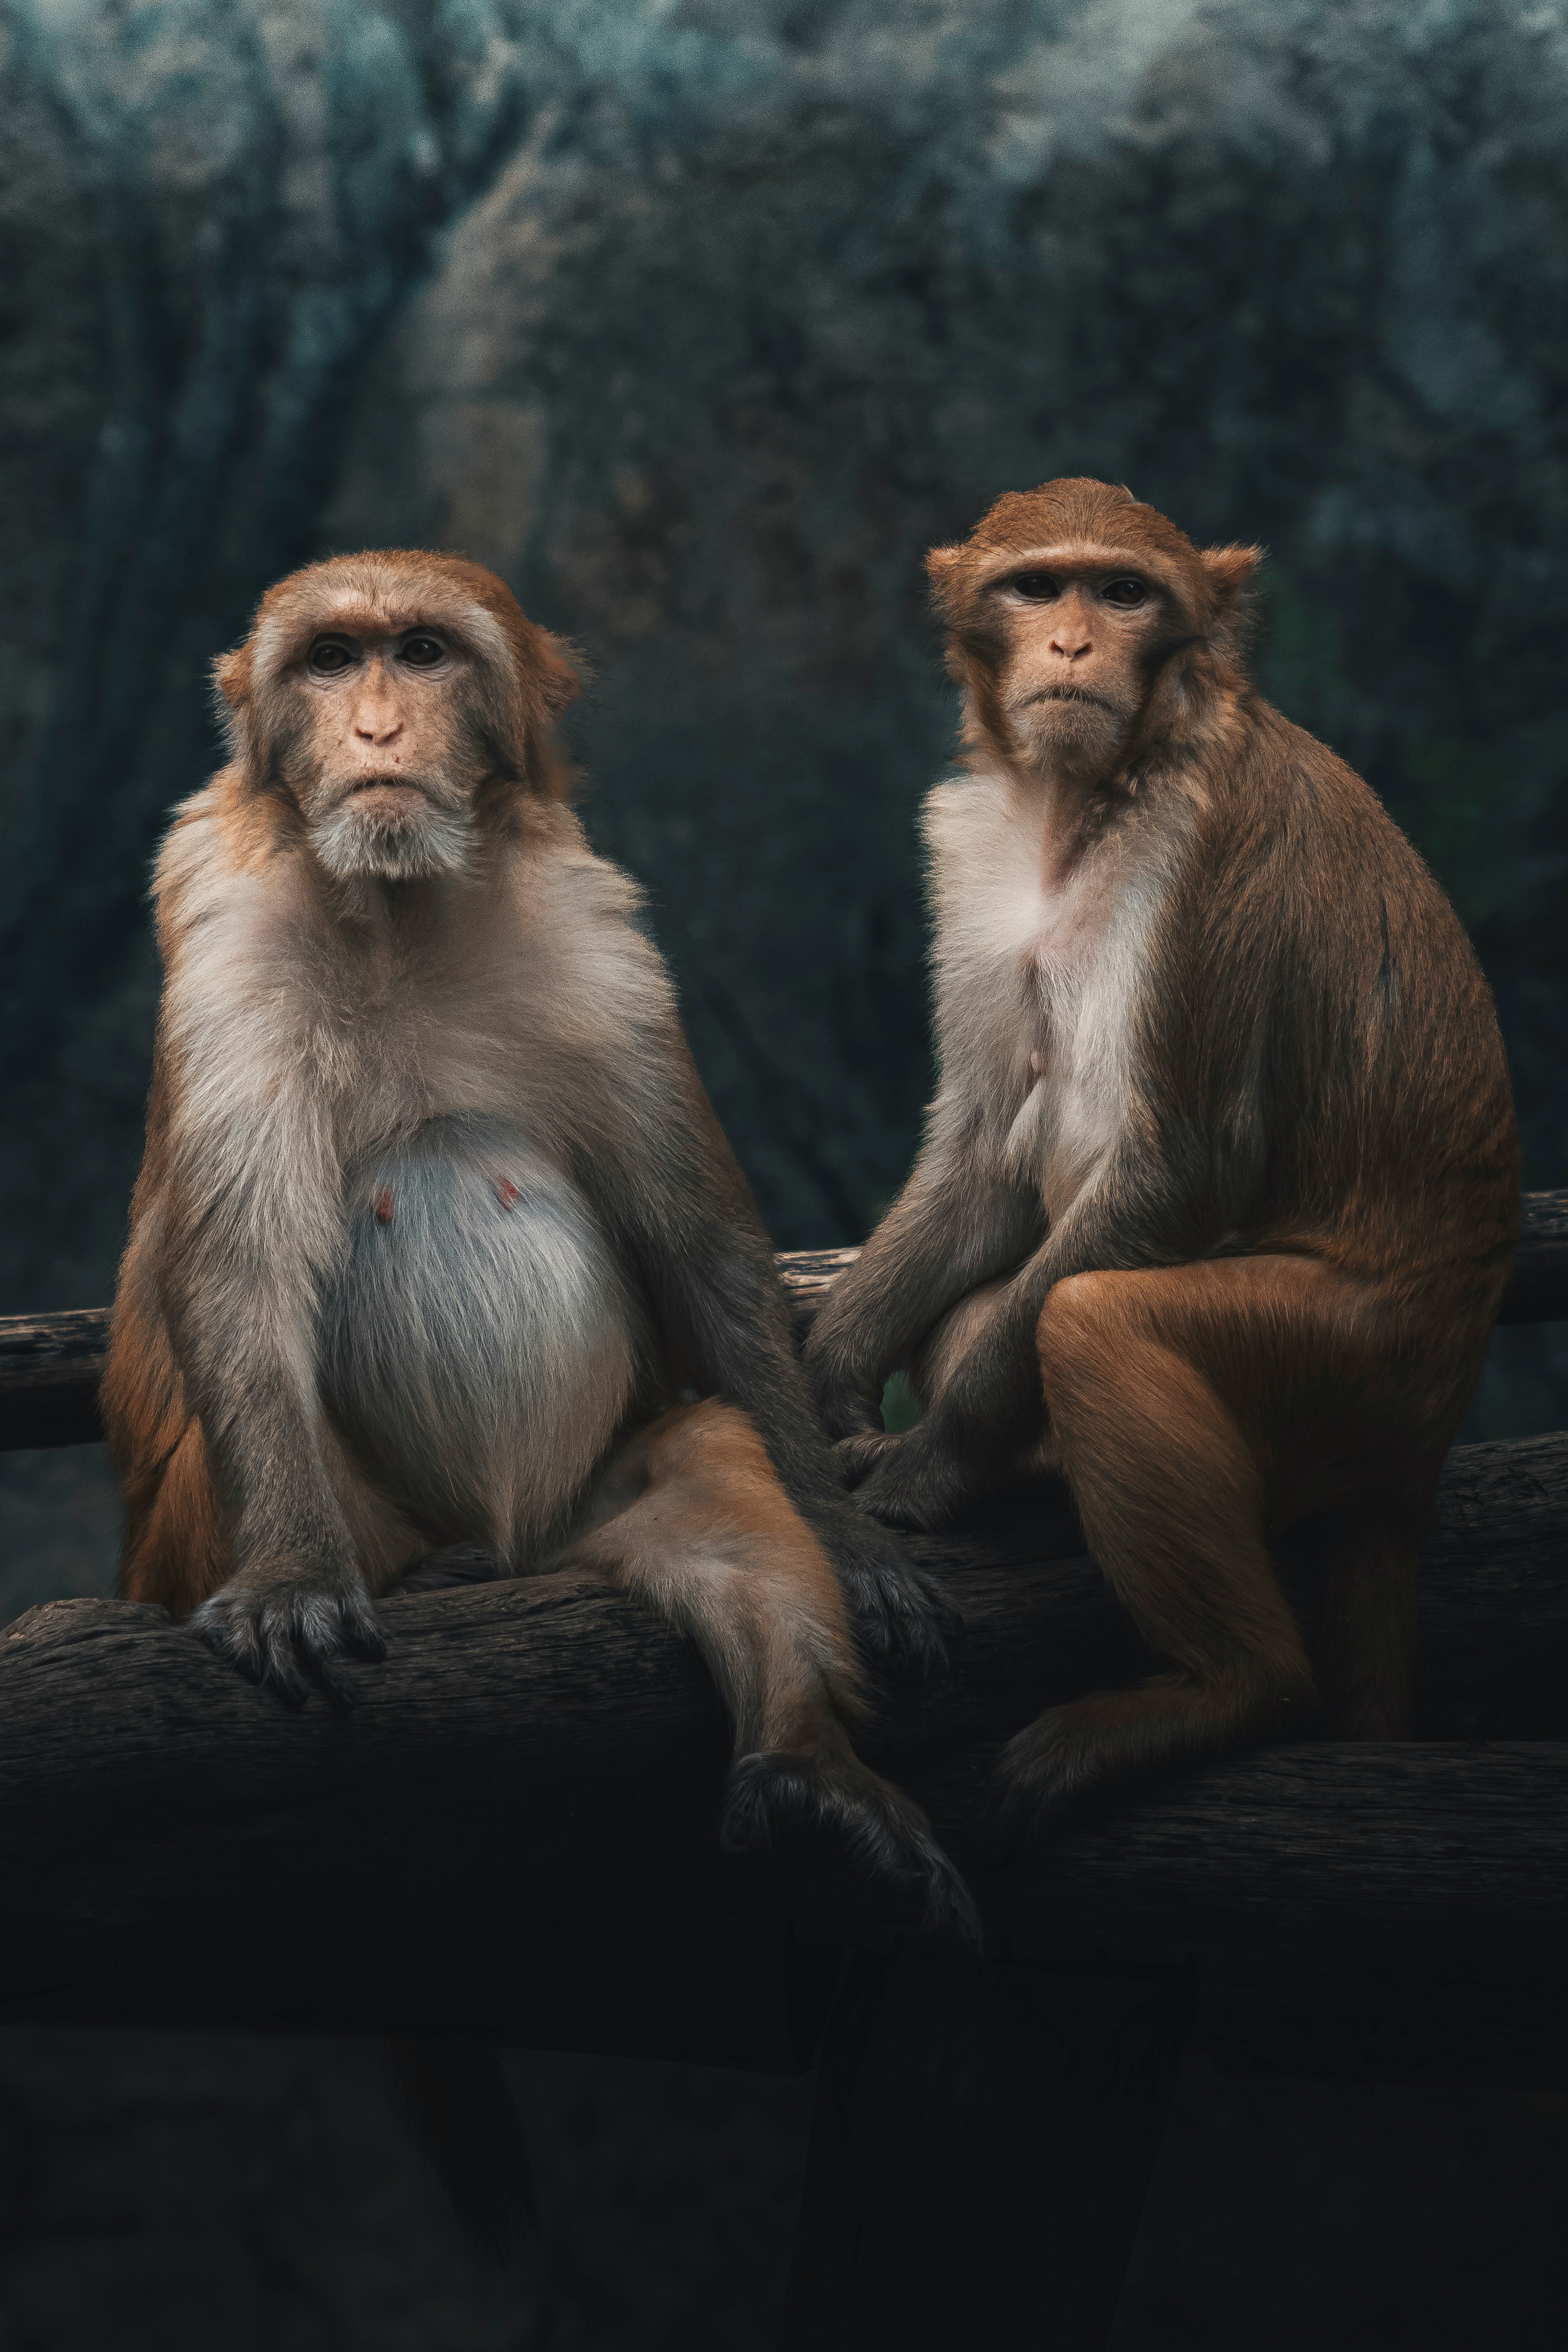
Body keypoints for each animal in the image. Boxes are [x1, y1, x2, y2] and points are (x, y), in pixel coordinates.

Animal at [101, 548, 974, 1945]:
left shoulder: (599, 936)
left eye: (421, 653)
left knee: (715, 1472)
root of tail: (519, 1543)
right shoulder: (223, 937)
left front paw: (855, 1550)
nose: (377, 729)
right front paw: (292, 1574)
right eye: (332, 662)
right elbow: (240, 1271)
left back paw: (807, 1763)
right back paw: (425, 1578)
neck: (398, 905)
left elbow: (700, 1253)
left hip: (582, 1511)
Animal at [803, 477, 1519, 1828]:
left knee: (1092, 1321)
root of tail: (1423, 1449)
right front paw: (827, 1380)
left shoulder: (1212, 834)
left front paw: (929, 1463)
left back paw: (1232, 1691)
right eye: (1039, 586)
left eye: (1123, 592)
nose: (1075, 645)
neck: (1091, 800)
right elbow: (982, 1156)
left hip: (1361, 1366)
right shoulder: (973, 843)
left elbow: (1185, 1163)